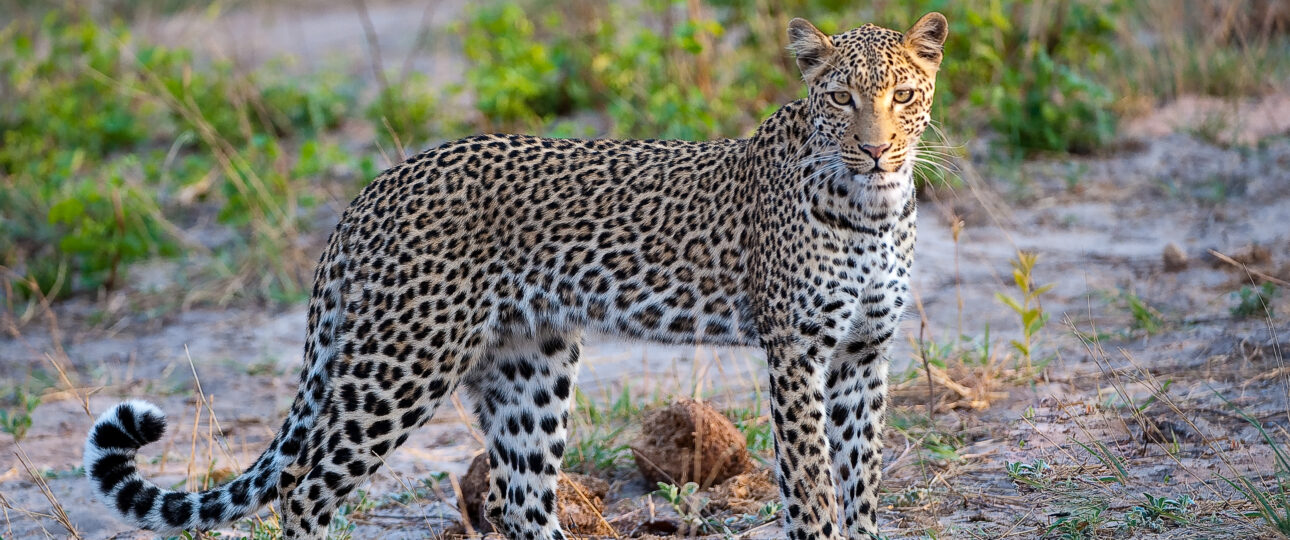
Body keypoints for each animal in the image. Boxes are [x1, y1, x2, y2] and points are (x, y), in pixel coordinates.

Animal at [83, 12, 949, 540]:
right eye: (840, 99)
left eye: (904, 94)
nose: (878, 148)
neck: (873, 206)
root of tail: (370, 191)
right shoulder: (797, 352)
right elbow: (812, 481)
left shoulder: (863, 355)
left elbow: (860, 473)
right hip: (399, 364)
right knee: (305, 489)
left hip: (527, 368)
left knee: (522, 501)